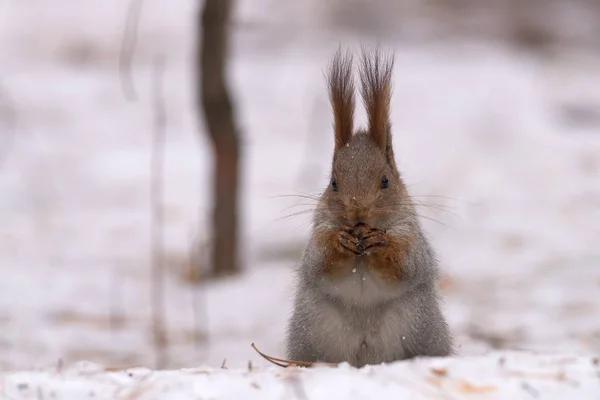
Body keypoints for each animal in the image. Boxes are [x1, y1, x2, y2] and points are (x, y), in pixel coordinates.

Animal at [284, 46, 450, 366]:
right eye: (333, 183)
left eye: (385, 181)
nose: (357, 211)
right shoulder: (318, 233)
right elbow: (318, 260)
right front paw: (340, 241)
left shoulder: (411, 234)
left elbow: (407, 264)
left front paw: (380, 243)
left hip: (419, 324)